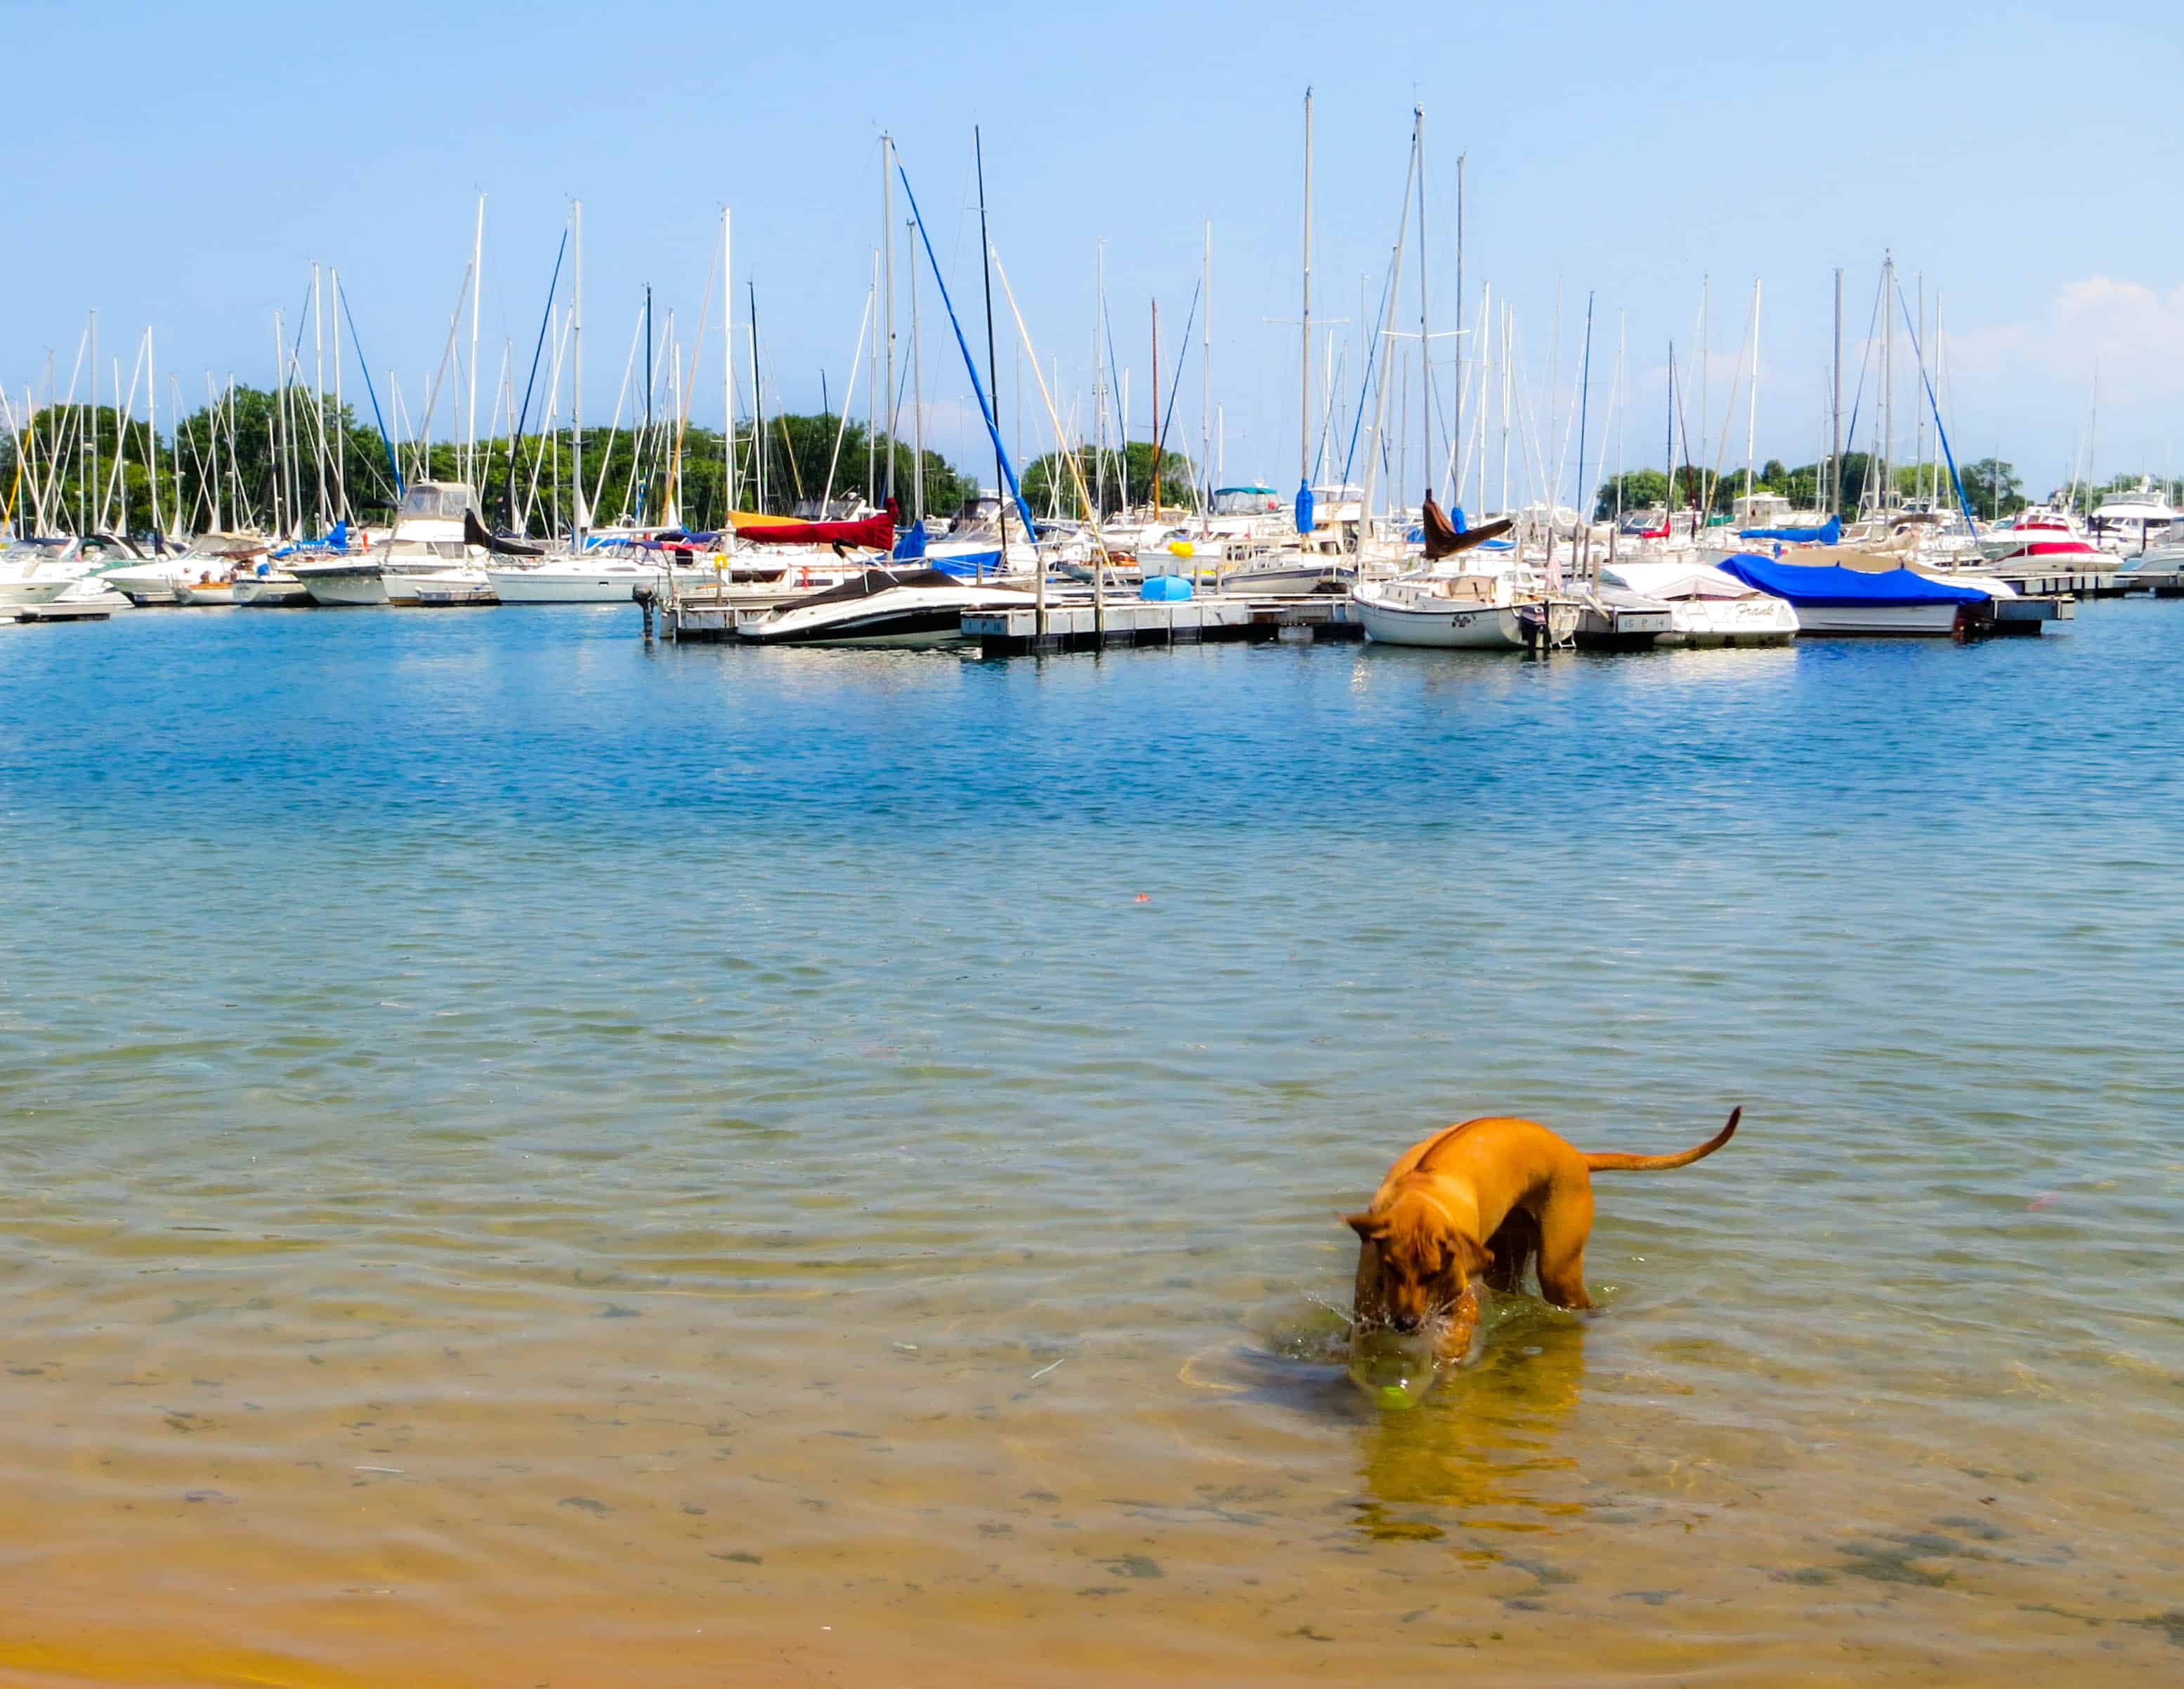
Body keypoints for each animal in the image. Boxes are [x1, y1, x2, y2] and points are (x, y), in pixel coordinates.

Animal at [1345, 1101, 1738, 1363]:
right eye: (1391, 1270)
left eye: (1432, 1274)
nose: (1406, 1323)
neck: (1420, 1195)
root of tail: (1577, 1155)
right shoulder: (1367, 1302)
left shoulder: (1461, 1292)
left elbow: (1460, 1325)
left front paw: (1450, 1353)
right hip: (1509, 1251)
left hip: (1558, 1267)